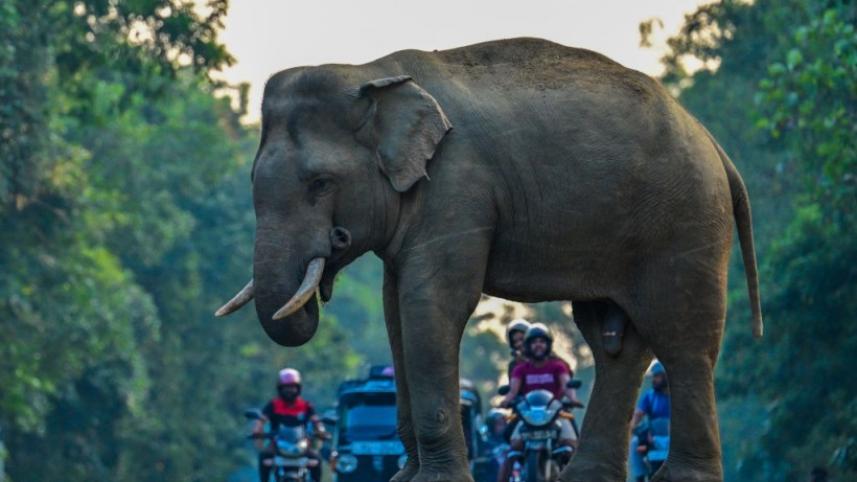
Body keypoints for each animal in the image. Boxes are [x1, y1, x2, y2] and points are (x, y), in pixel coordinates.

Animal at [215, 38, 762, 482]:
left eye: (320, 183)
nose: (329, 256)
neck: (369, 71)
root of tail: (714, 144)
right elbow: (396, 311)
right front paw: (406, 479)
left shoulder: (457, 184)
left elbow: (432, 303)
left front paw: (434, 481)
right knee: (615, 343)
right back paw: (585, 477)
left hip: (684, 221)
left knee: (683, 337)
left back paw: (682, 477)